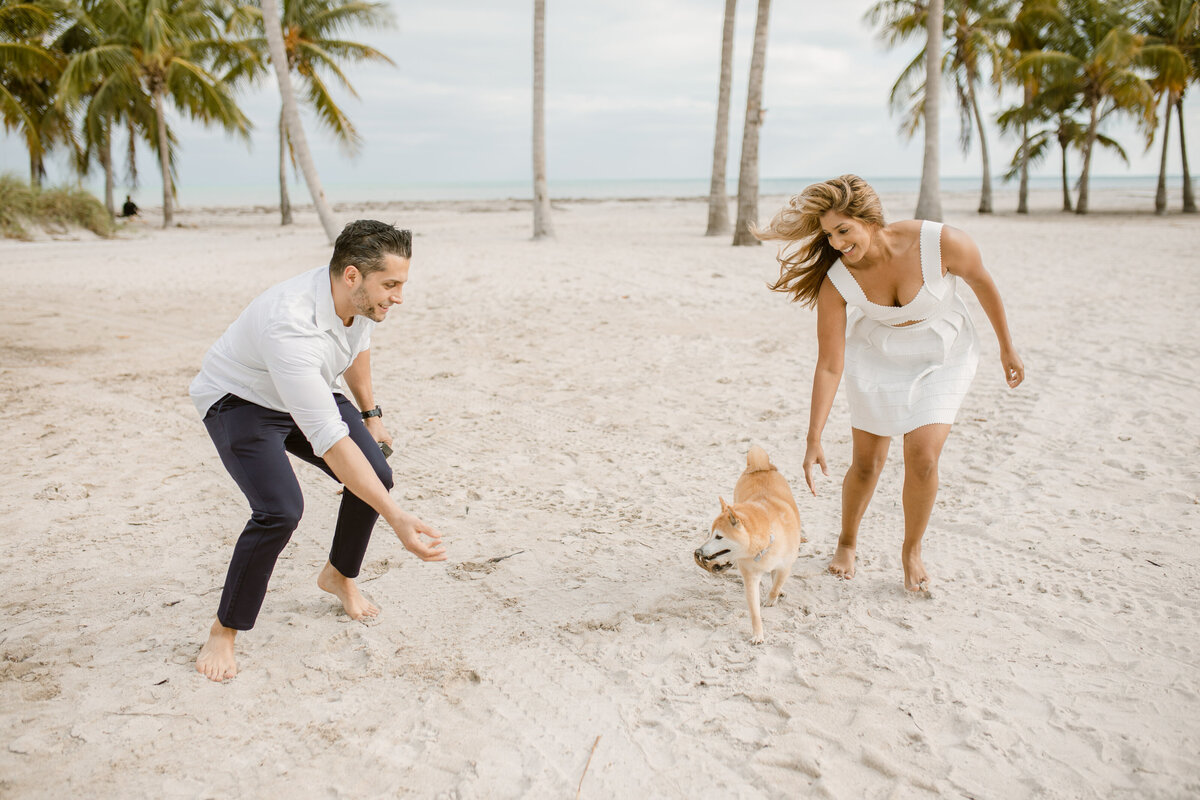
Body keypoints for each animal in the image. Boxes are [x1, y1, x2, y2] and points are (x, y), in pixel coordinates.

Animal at [696, 443, 806, 642]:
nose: (699, 551)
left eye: (719, 537)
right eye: (710, 534)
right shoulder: (750, 577)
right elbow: (754, 611)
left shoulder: (786, 565)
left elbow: (777, 583)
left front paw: (771, 598)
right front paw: (757, 634)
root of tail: (760, 466)